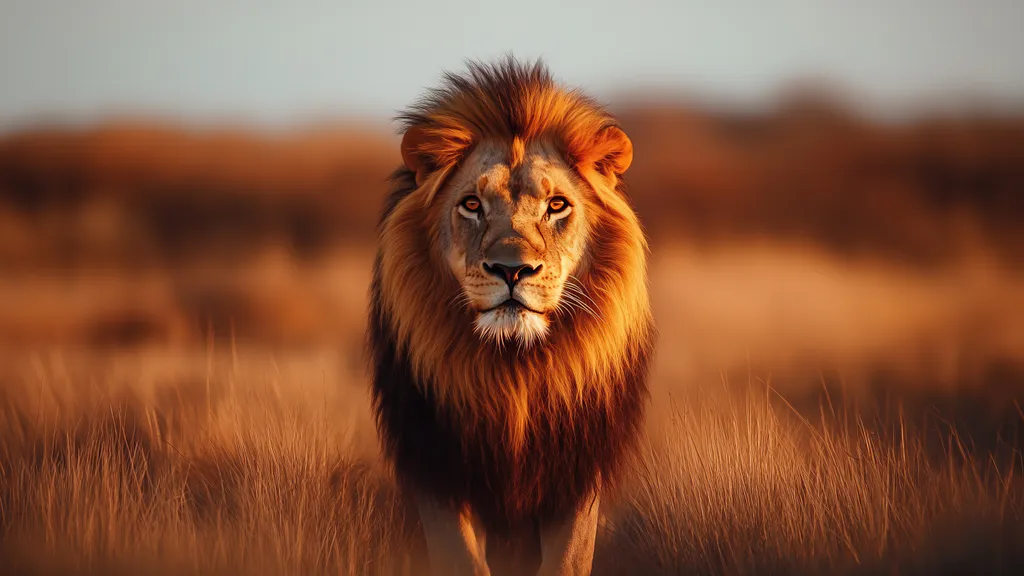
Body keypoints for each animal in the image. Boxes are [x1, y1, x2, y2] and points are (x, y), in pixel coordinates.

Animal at [368, 57, 655, 576]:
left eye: (556, 205)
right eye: (472, 205)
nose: (511, 269)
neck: (513, 369)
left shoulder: (576, 467)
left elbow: (567, 560)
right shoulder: (436, 465)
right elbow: (460, 559)